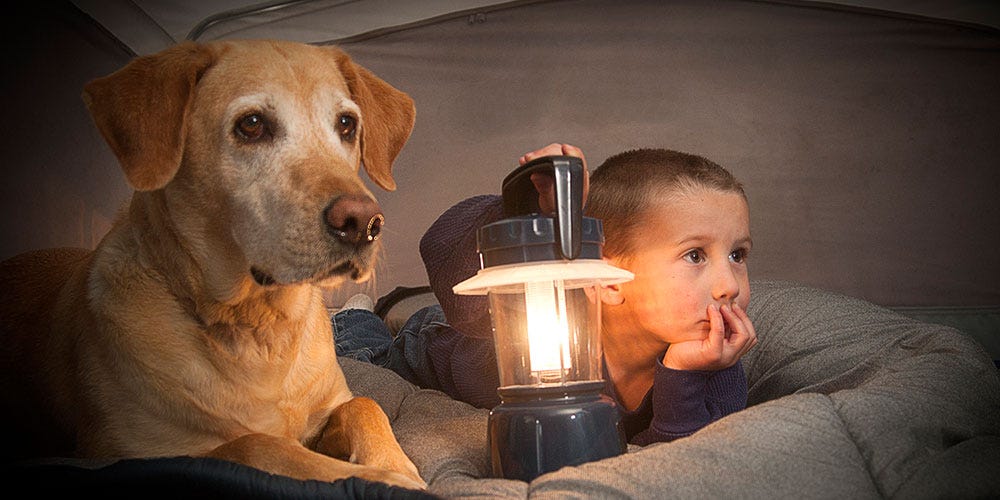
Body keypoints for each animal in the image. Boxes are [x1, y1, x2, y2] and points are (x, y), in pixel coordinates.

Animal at [0, 39, 424, 488]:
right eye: (251, 125)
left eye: (346, 124)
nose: (364, 224)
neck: (258, 326)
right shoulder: (129, 451)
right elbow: (257, 444)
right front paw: (386, 478)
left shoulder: (331, 404)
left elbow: (364, 405)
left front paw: (397, 465)